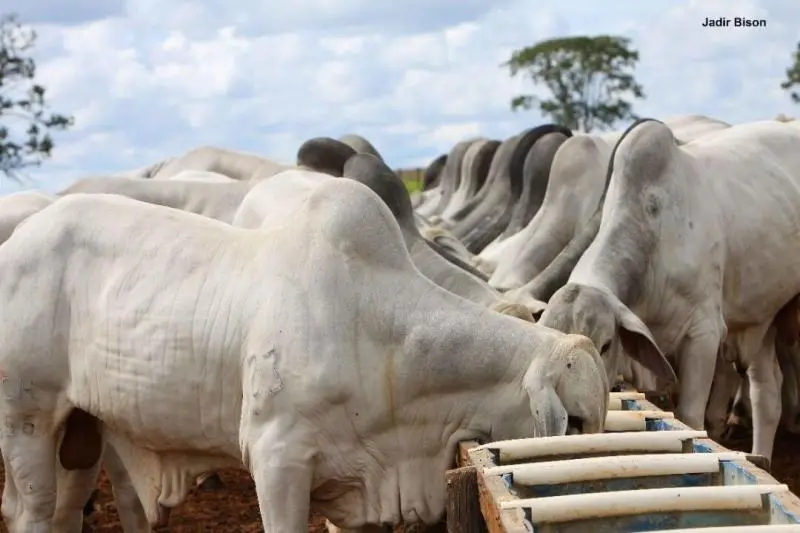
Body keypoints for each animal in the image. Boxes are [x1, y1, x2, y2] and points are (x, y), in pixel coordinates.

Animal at [0, 180, 608, 532]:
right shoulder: (277, 459)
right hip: (25, 421)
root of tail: (20, 239)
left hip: (84, 431)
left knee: (67, 510)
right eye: (575, 420)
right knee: (33, 510)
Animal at [536, 118, 800, 460]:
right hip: (761, 316)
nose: (575, 422)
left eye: (605, 345)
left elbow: (690, 417)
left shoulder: (704, 333)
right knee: (766, 395)